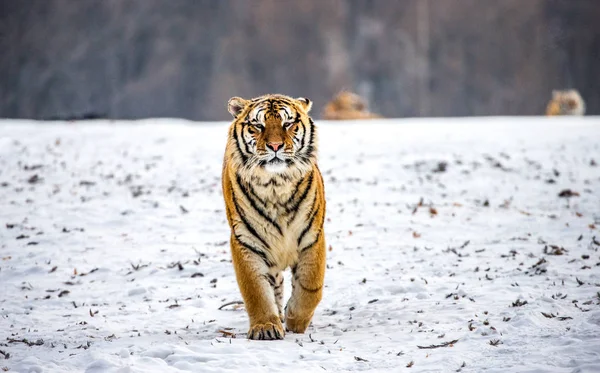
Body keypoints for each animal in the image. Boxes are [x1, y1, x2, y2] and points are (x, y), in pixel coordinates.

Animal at [221, 93, 326, 340]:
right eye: (258, 126)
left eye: (287, 124)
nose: (275, 146)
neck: (275, 184)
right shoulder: (246, 242)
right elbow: (256, 290)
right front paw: (266, 327)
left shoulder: (312, 237)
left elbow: (311, 285)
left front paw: (296, 320)